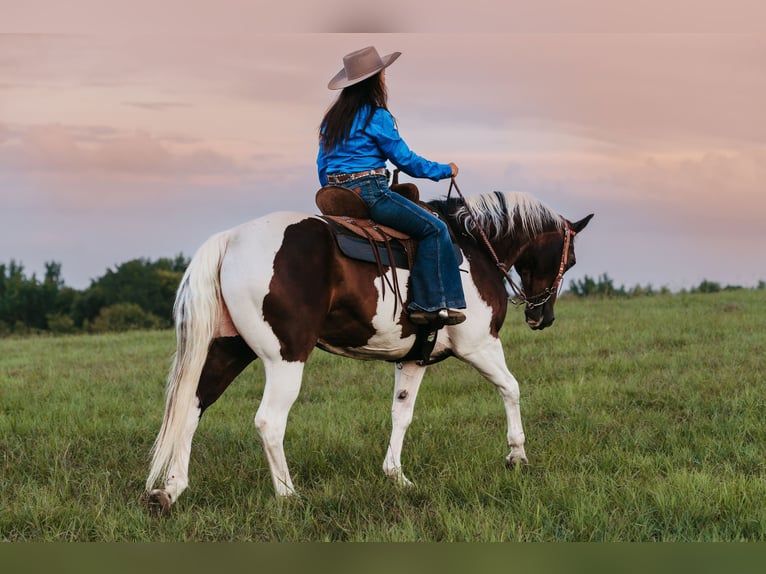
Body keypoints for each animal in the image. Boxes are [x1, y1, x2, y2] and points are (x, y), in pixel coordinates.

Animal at [147, 188, 596, 512]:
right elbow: (511, 388)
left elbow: (402, 414)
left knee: (191, 408)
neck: (475, 249)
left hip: (230, 349)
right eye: (571, 258)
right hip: (285, 358)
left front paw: (396, 475)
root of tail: (232, 239)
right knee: (268, 422)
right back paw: (289, 496)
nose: (542, 317)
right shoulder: (481, 345)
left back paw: (170, 490)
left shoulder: (414, 359)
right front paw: (517, 456)